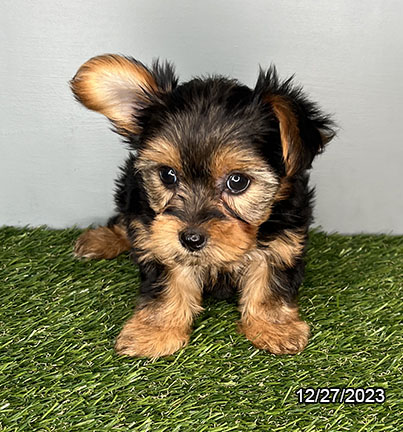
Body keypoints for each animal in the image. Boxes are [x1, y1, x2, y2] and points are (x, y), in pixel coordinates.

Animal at [71, 54, 336, 358]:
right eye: (168, 175)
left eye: (237, 181)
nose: (191, 239)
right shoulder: (162, 241)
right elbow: (167, 281)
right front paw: (154, 331)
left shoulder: (283, 239)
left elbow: (270, 281)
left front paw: (274, 327)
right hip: (133, 194)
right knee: (128, 222)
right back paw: (102, 239)